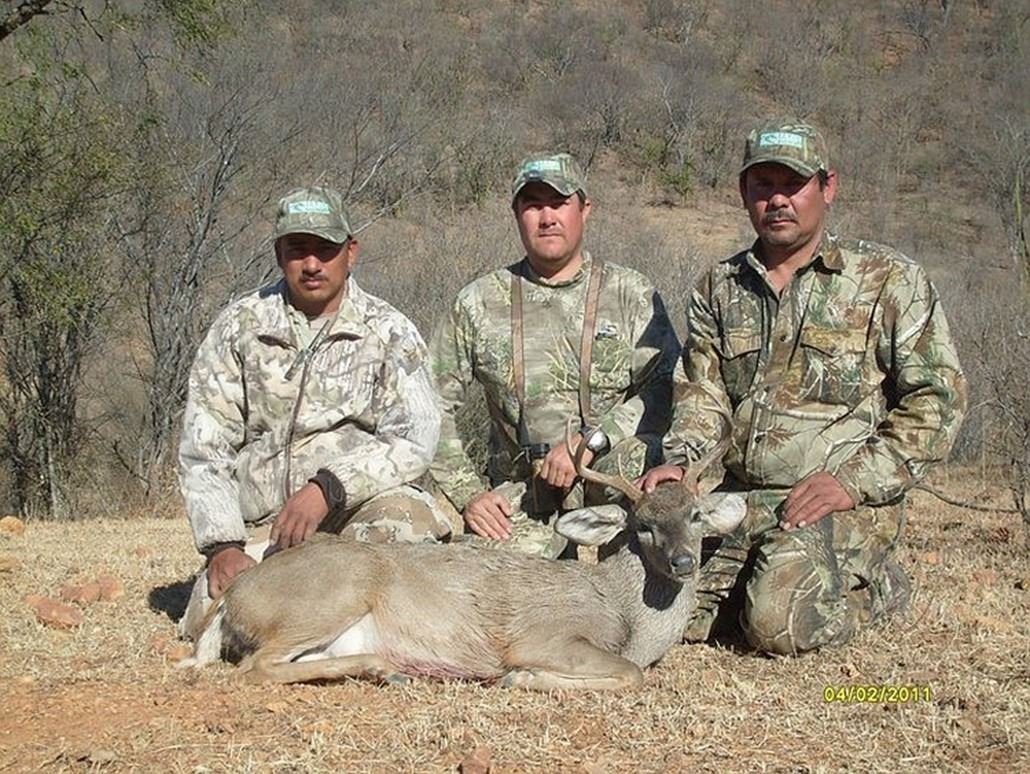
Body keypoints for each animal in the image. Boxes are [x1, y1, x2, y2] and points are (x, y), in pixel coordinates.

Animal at [180, 419, 745, 691]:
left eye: (696, 515)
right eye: (643, 526)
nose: (683, 562)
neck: (625, 613)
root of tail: (233, 595)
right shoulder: (545, 636)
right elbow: (630, 674)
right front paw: (523, 678)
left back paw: (388, 668)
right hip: (328, 597)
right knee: (253, 666)